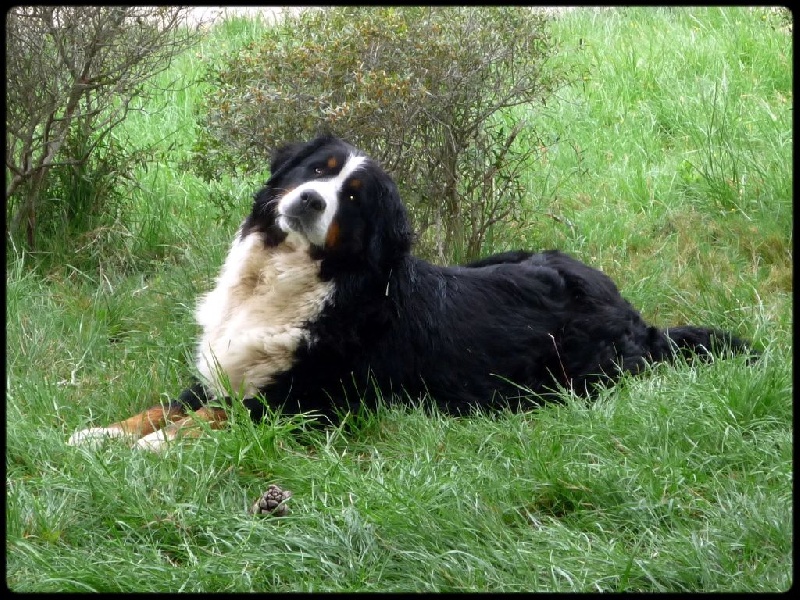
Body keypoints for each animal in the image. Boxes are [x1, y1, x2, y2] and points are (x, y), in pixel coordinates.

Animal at [69, 132, 756, 450]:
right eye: (317, 169)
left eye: (353, 198)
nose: (310, 199)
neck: (300, 280)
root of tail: (637, 318)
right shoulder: (223, 371)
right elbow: (163, 405)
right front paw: (101, 435)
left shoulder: (300, 405)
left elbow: (202, 421)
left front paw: (151, 448)